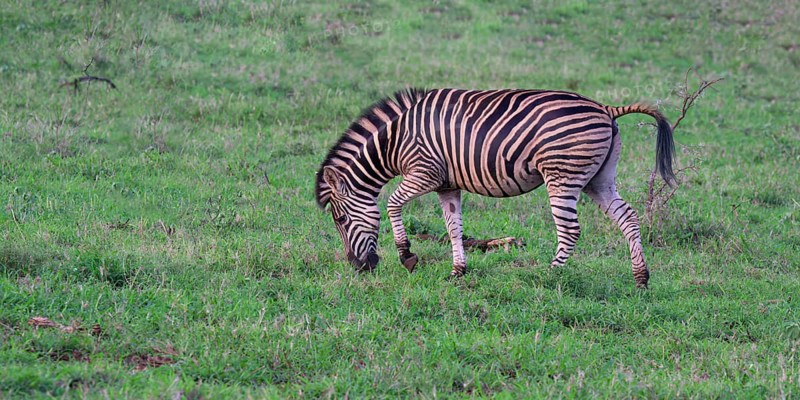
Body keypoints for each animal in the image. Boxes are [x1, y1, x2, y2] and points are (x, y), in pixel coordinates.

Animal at [316, 88, 674, 288]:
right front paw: (458, 272)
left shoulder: (425, 172)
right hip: (598, 180)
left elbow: (391, 204)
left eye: (341, 220)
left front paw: (407, 256)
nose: (359, 267)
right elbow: (454, 229)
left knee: (570, 230)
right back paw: (641, 278)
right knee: (628, 217)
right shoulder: (447, 185)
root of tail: (605, 108)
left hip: (563, 176)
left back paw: (548, 276)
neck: (396, 140)